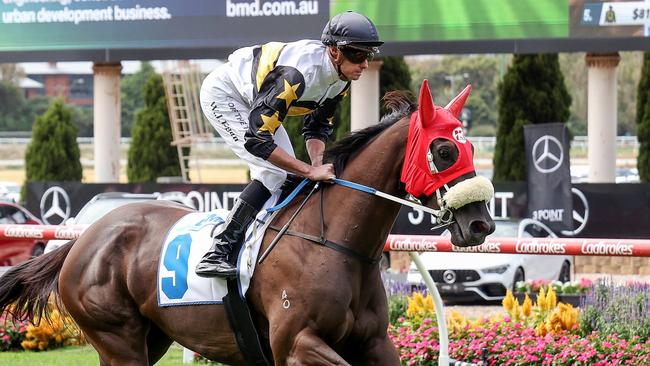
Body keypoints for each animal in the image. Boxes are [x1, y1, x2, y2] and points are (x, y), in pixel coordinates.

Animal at [0, 83, 492, 366]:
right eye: (444, 150)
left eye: (469, 149)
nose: (481, 224)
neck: (332, 242)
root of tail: (84, 239)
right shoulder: (296, 344)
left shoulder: (373, 343)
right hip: (117, 338)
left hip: (148, 338)